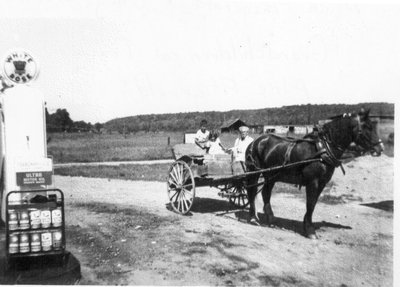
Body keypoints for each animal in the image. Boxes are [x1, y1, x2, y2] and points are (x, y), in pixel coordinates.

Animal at [244, 111, 384, 240]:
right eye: (367, 127)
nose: (380, 148)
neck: (323, 150)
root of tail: (255, 141)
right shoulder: (313, 182)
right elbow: (310, 204)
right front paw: (310, 230)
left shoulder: (322, 183)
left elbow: (313, 204)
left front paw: (306, 225)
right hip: (254, 173)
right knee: (251, 192)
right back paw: (253, 218)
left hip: (271, 175)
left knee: (265, 193)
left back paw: (271, 219)